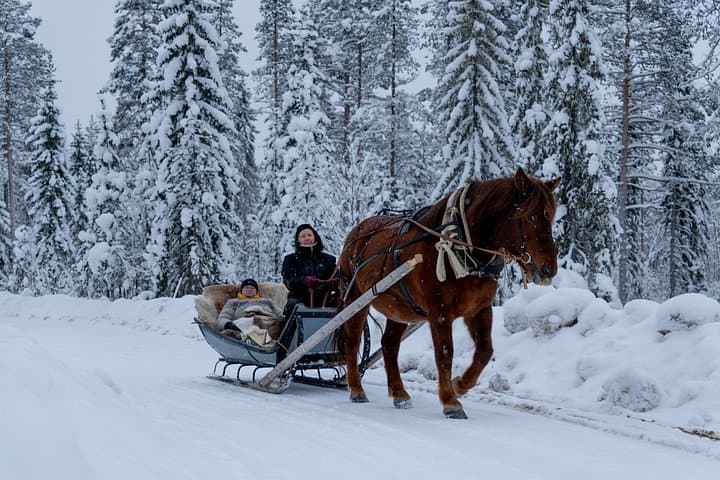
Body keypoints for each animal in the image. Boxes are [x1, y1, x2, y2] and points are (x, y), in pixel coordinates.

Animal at [335, 167, 560, 419]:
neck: (461, 247)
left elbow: (485, 351)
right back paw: (356, 389)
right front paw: (451, 402)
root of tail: (357, 231)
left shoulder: (480, 309)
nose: (548, 270)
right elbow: (444, 353)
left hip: (400, 309)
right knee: (352, 340)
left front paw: (460, 385)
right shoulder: (440, 312)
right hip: (355, 298)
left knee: (389, 344)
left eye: (551, 217)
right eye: (531, 217)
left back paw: (399, 393)